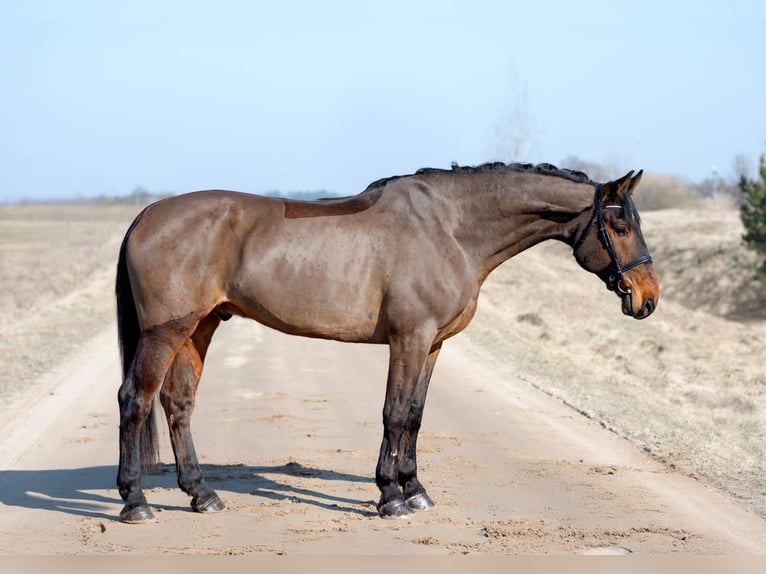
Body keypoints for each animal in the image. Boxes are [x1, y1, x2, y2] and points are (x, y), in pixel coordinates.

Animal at [115, 160, 660, 524]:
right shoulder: (409, 339)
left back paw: (202, 495)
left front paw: (414, 489)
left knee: (178, 403)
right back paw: (135, 502)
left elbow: (414, 415)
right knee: (135, 400)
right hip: (166, 331)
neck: (450, 229)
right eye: (619, 225)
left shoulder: (433, 345)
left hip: (200, 327)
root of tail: (148, 214)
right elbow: (394, 414)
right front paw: (390, 498)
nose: (647, 298)